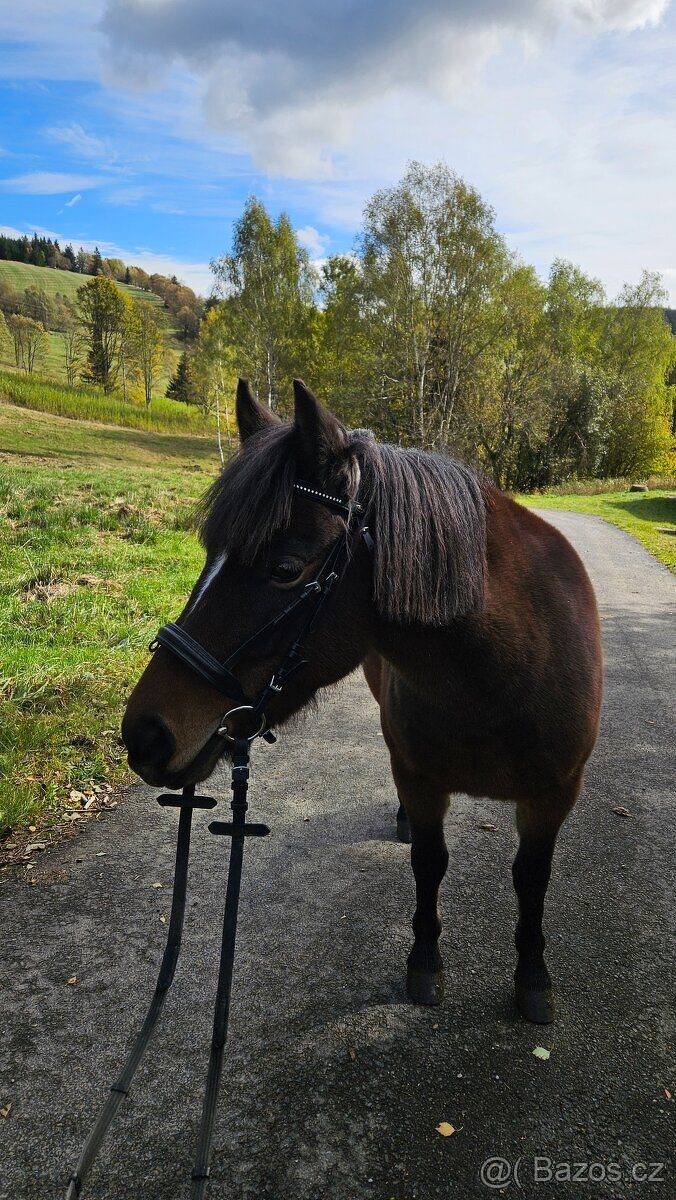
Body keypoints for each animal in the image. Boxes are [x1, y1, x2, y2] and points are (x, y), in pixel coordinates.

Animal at [122, 378, 603, 1025]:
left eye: (284, 568)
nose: (145, 733)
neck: (500, 680)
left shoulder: (554, 794)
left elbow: (531, 879)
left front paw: (532, 975)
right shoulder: (419, 778)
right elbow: (430, 862)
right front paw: (425, 962)